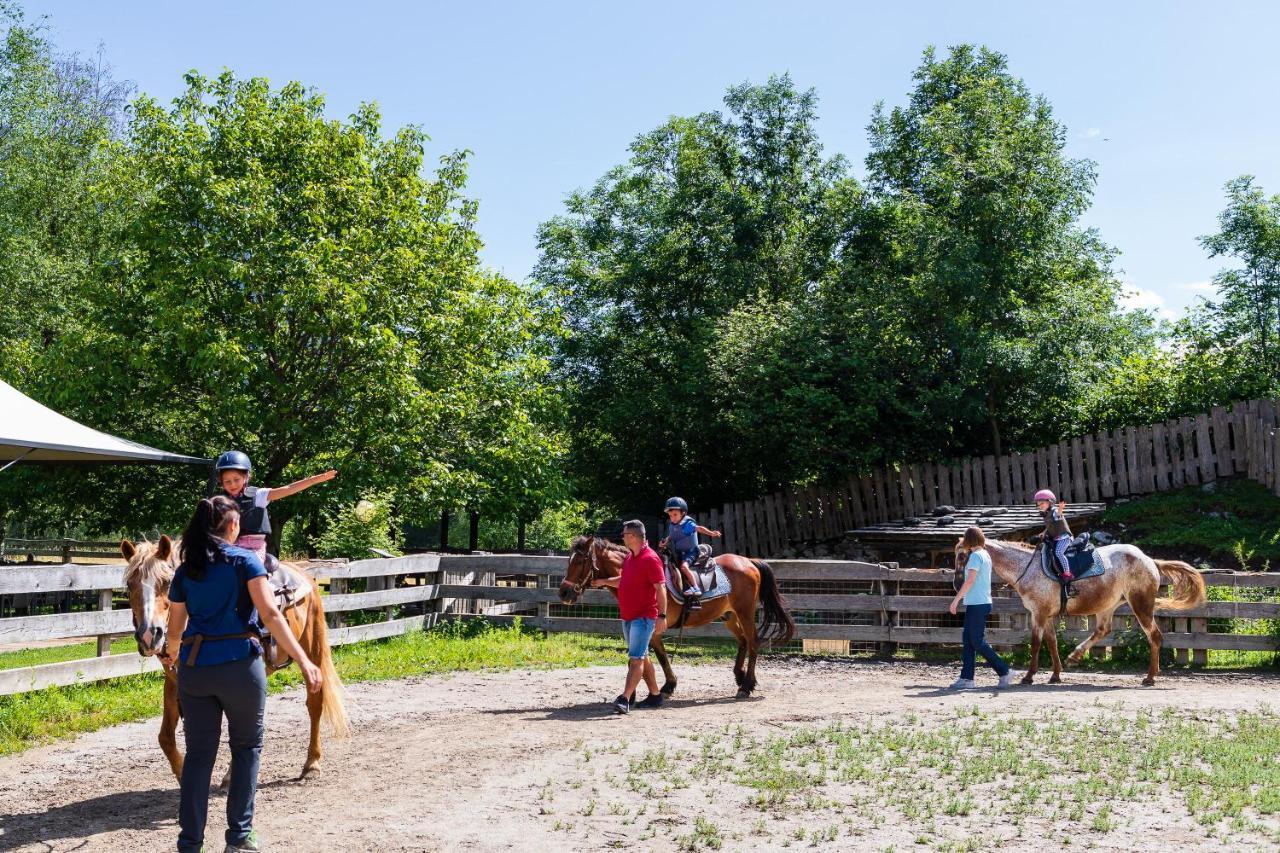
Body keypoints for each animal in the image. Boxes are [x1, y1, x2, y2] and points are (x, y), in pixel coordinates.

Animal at [120, 535, 350, 778]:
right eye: (130, 585)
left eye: (166, 582)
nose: (149, 634)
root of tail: (304, 575)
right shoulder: (174, 681)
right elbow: (165, 737)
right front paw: (183, 775)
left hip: (311, 651)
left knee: (314, 704)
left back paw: (312, 763)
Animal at [558, 537, 788, 696]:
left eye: (580, 562)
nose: (564, 593)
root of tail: (749, 561)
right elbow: (656, 657)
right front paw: (667, 685)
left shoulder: (652, 628)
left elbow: (659, 656)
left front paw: (668, 685)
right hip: (729, 616)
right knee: (743, 641)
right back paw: (741, 677)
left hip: (745, 613)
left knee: (753, 642)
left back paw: (747, 685)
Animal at [962, 537, 1208, 686]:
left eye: (962, 555)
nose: (958, 582)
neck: (1027, 568)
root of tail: (1149, 560)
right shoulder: (1047, 615)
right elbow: (1052, 642)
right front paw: (1056, 674)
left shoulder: (1038, 614)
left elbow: (1036, 643)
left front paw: (1029, 676)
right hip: (1108, 606)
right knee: (1102, 630)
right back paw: (1076, 655)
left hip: (1140, 605)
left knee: (1154, 636)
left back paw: (1149, 677)